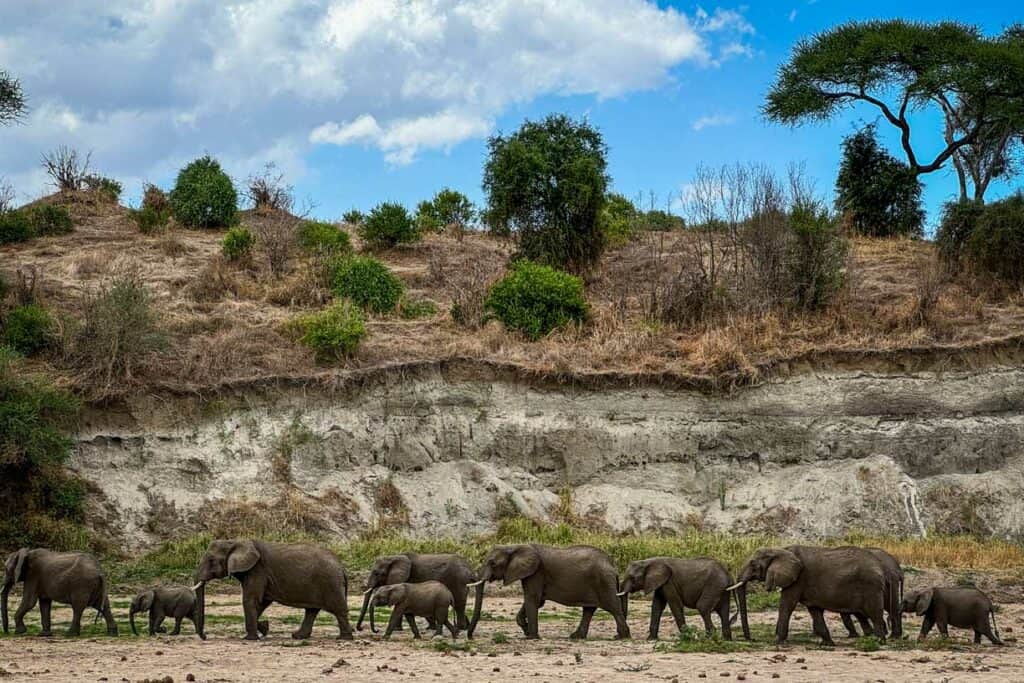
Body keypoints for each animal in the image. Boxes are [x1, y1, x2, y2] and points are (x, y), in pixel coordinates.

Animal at [193, 540, 354, 643]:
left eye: (211, 561)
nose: (205, 637)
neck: (235, 541)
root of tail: (342, 567)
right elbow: (261, 602)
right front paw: (264, 628)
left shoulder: (257, 570)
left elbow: (251, 600)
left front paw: (250, 638)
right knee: (311, 610)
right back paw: (297, 636)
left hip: (330, 583)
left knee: (338, 609)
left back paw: (344, 638)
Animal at [473, 544, 630, 643]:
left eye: (492, 563)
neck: (514, 547)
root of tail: (612, 565)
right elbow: (536, 601)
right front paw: (527, 631)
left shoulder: (536, 572)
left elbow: (532, 599)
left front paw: (531, 637)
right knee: (589, 610)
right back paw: (576, 637)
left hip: (604, 581)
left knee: (614, 608)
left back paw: (622, 637)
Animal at [610, 557, 749, 643]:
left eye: (632, 578)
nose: (617, 636)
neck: (650, 561)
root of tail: (729, 575)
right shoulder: (661, 583)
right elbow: (657, 606)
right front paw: (651, 639)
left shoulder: (669, 582)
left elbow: (675, 605)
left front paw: (686, 638)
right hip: (722, 589)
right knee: (723, 612)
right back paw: (726, 639)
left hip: (714, 585)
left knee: (703, 607)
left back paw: (709, 638)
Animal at [729, 544, 888, 647]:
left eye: (753, 564)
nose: (752, 640)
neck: (781, 549)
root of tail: (879, 566)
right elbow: (814, 611)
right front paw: (827, 644)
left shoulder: (798, 579)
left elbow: (786, 605)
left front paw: (778, 642)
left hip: (871, 587)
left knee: (875, 614)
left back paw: (879, 642)